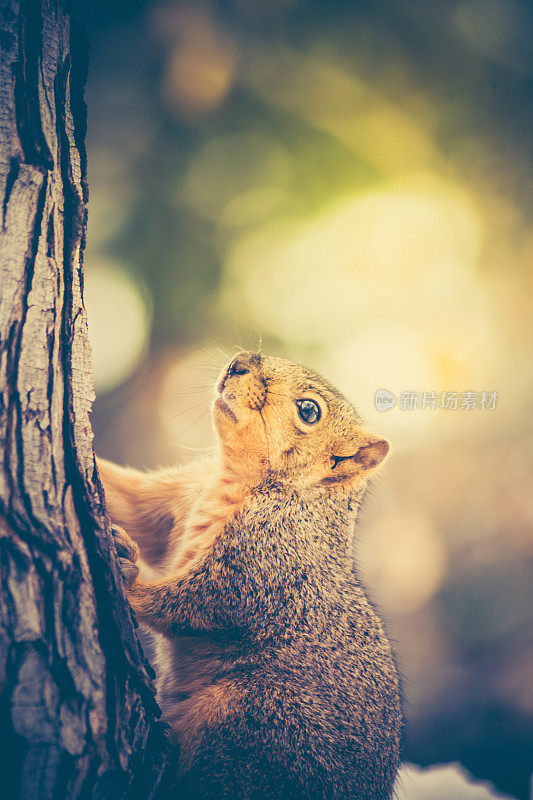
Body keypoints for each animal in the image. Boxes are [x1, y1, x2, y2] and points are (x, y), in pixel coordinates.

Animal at [97, 354, 402, 796]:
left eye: (309, 411)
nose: (238, 363)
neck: (238, 476)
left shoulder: (263, 560)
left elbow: (195, 605)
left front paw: (128, 579)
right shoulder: (177, 494)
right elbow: (130, 501)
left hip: (251, 720)